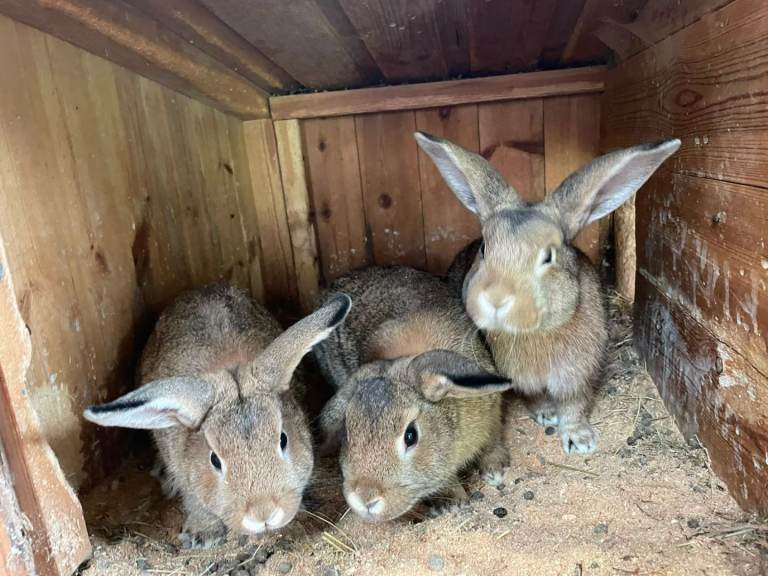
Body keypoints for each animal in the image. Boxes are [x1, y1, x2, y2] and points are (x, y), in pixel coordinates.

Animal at [315, 266, 514, 523]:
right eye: (348, 434)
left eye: (411, 435)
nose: (366, 498)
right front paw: (452, 502)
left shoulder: (491, 412)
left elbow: (492, 439)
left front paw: (495, 469)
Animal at [416, 132, 680, 455]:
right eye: (484, 249)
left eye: (548, 257)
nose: (495, 299)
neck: (537, 332)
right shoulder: (522, 379)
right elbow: (536, 398)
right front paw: (545, 415)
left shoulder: (576, 375)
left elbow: (573, 406)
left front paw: (580, 440)